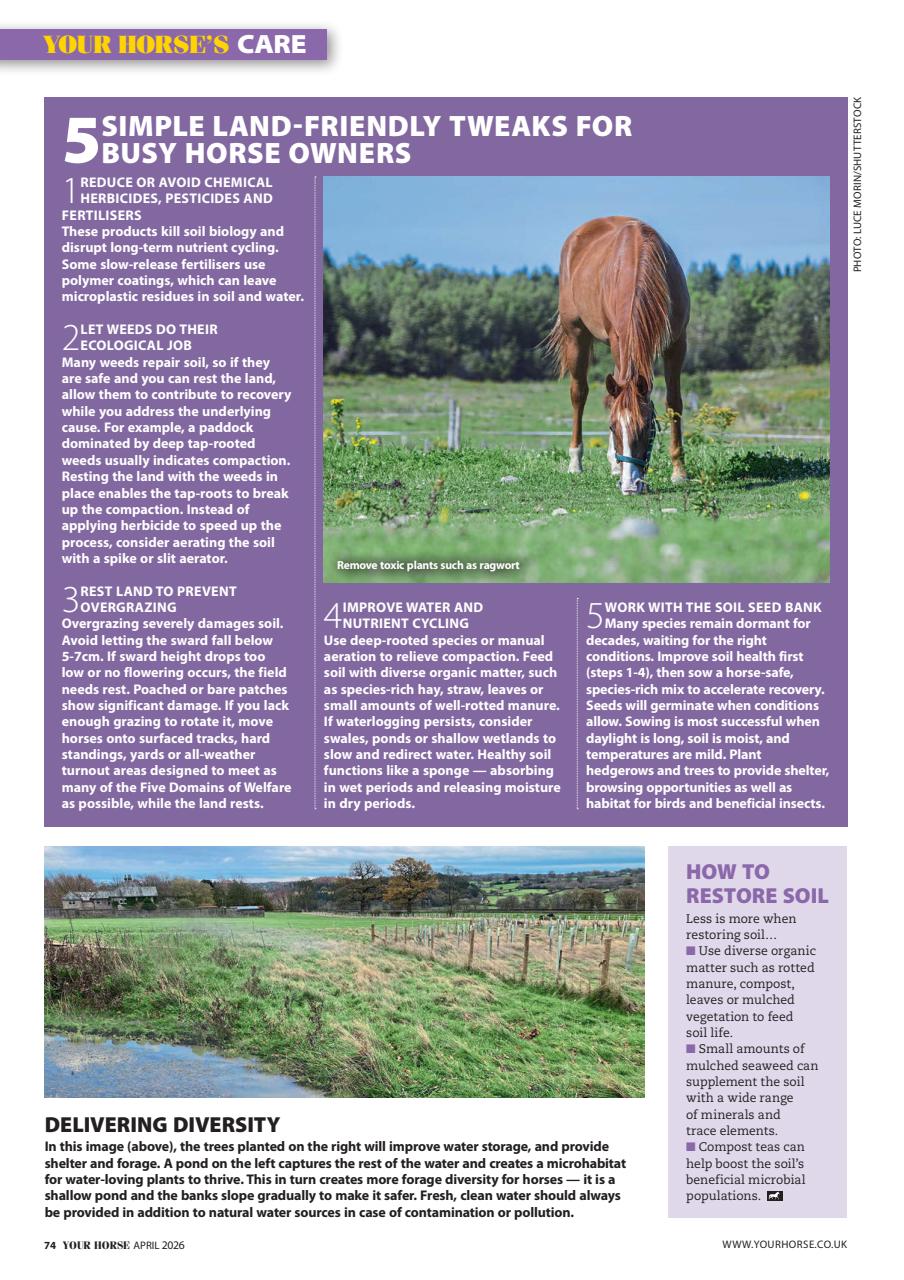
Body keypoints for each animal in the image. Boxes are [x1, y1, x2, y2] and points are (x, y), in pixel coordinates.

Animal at [547, 217, 690, 494]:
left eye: (646, 427)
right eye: (613, 427)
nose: (630, 485)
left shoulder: (677, 343)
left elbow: (674, 402)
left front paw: (679, 471)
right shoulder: (616, 338)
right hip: (575, 335)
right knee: (579, 394)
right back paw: (576, 462)